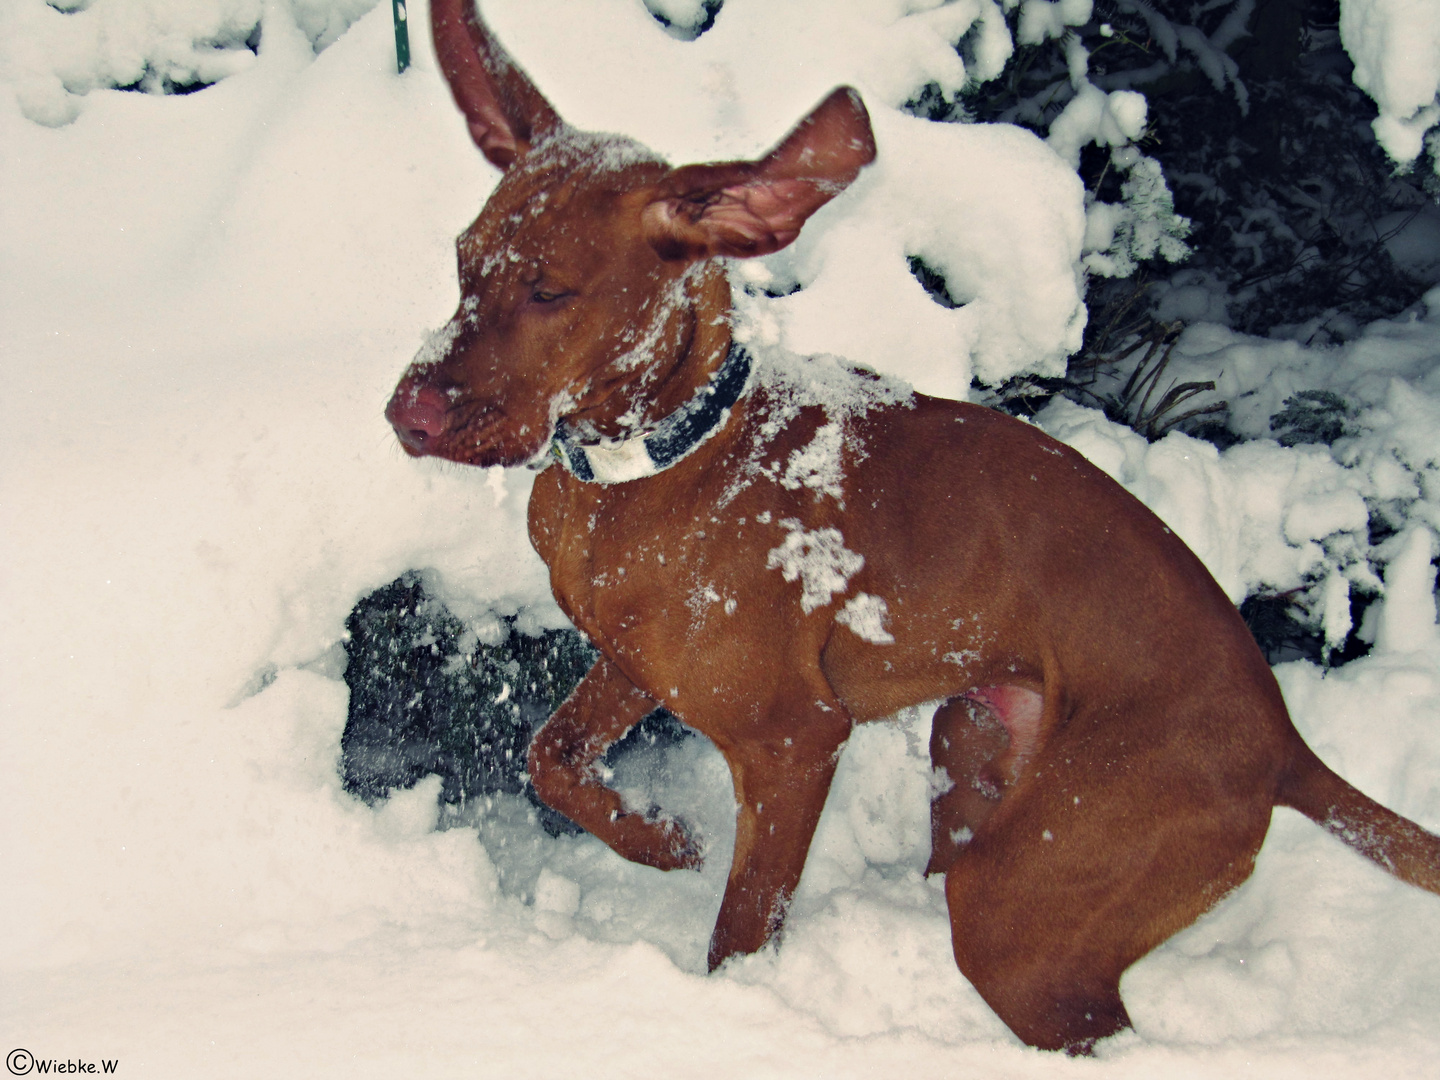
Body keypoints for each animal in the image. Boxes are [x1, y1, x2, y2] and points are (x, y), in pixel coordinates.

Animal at [385, 0, 1440, 1048]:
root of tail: (1283, 741)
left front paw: (730, 1010)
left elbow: (741, 930)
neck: (657, 461)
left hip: (1025, 897)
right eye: (462, 264)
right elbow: (548, 757)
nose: (407, 417)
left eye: (550, 291)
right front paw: (660, 839)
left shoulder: (795, 742)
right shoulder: (635, 664)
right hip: (972, 748)